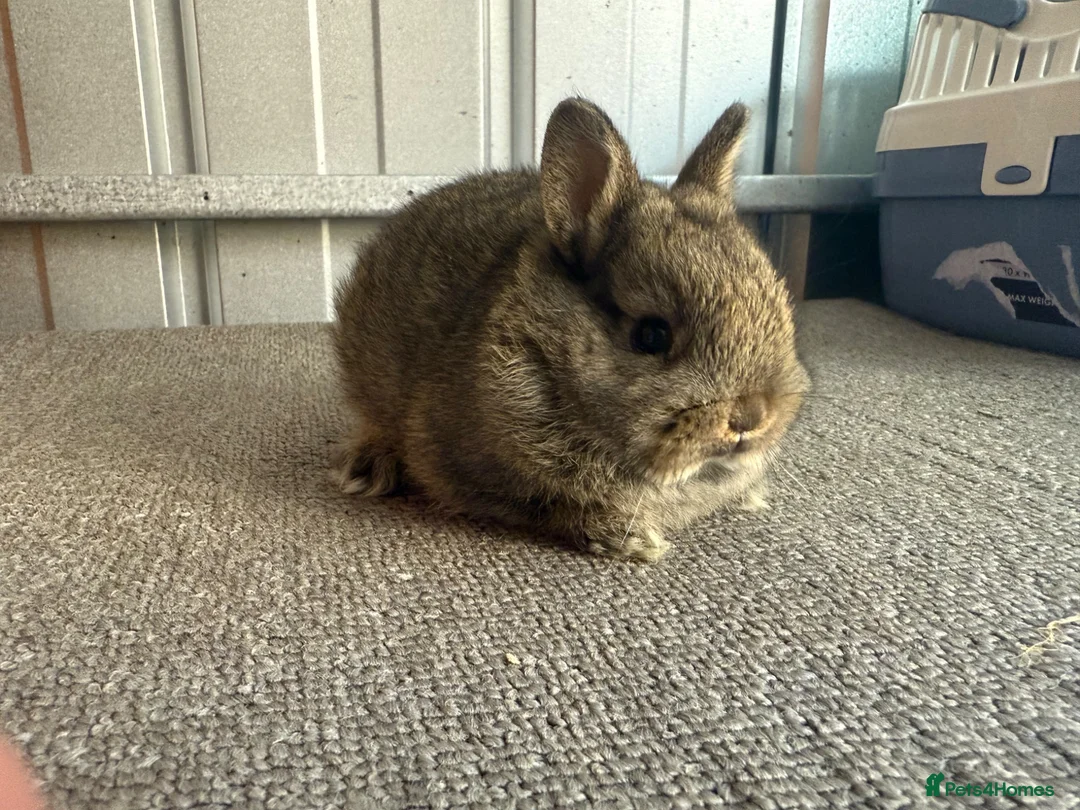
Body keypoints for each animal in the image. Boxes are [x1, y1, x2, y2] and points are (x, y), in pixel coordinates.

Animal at [331, 97, 809, 562]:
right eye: (651, 335)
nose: (751, 418)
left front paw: (750, 496)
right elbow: (557, 508)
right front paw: (633, 542)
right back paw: (366, 471)